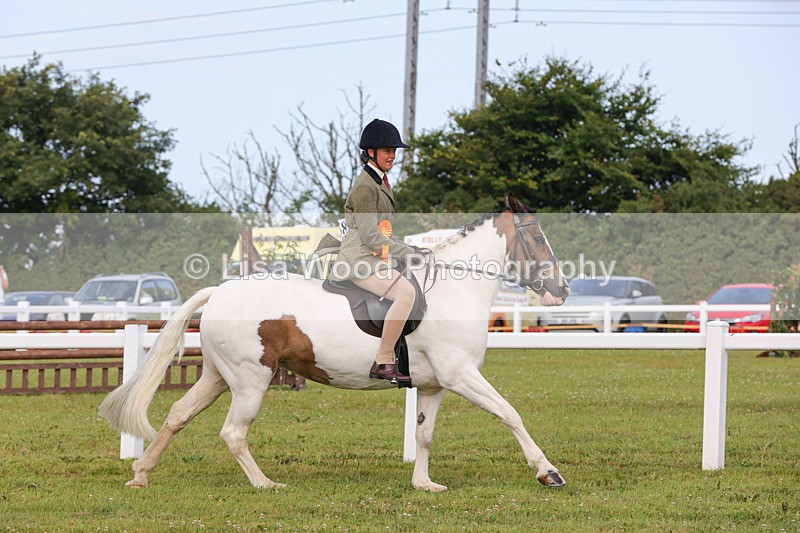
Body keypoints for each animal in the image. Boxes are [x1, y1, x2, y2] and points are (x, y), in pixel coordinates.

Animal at [99, 194, 571, 492]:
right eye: (538, 238)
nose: (561, 290)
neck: (456, 291)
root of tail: (221, 291)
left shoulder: (435, 384)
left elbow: (424, 435)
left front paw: (424, 484)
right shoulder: (461, 375)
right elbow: (509, 414)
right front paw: (548, 471)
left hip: (218, 375)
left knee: (178, 414)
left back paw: (141, 474)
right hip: (251, 380)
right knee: (233, 432)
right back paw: (265, 483)